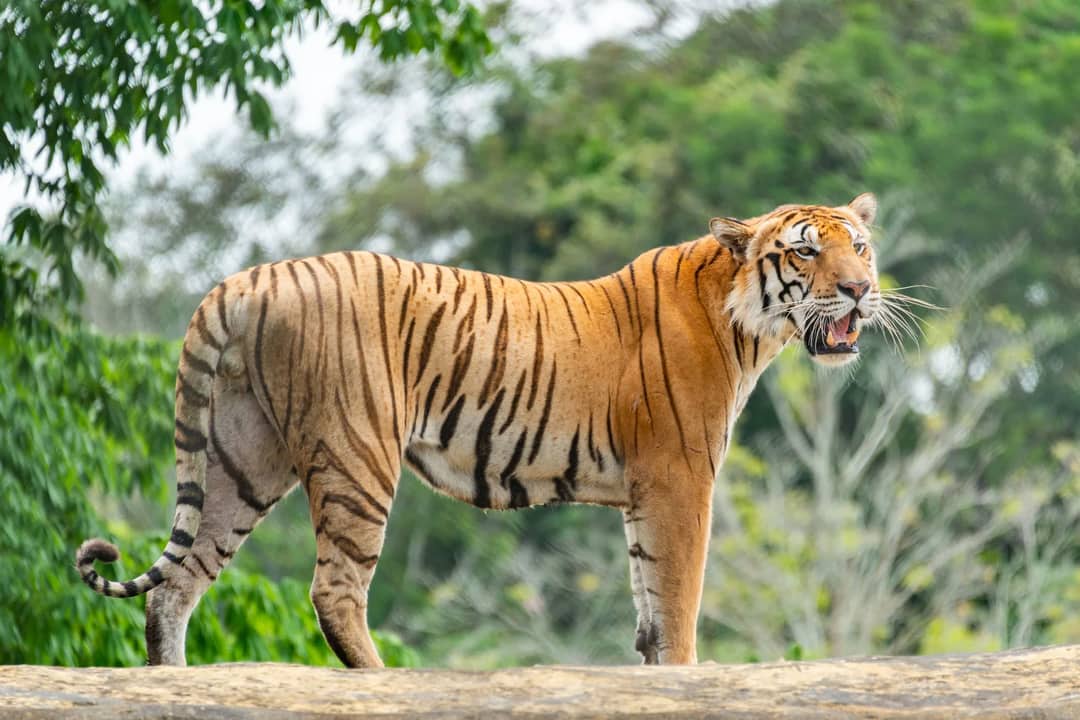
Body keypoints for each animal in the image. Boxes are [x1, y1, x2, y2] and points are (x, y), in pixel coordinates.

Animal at [76, 193, 881, 667]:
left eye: (861, 246)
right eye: (806, 250)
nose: (861, 289)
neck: (746, 323)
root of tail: (242, 280)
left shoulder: (646, 496)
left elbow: (650, 611)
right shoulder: (680, 479)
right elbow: (678, 604)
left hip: (243, 459)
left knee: (174, 586)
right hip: (356, 452)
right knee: (334, 590)